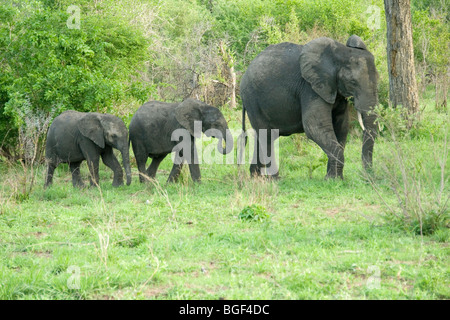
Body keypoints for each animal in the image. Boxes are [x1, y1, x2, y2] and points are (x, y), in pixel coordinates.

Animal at [241, 36, 378, 179]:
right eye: (352, 82)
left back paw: (256, 178)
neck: (339, 53)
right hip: (253, 100)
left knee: (264, 135)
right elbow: (315, 127)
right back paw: (275, 180)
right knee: (266, 136)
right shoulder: (310, 87)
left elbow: (341, 126)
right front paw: (333, 179)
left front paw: (333, 178)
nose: (367, 175)